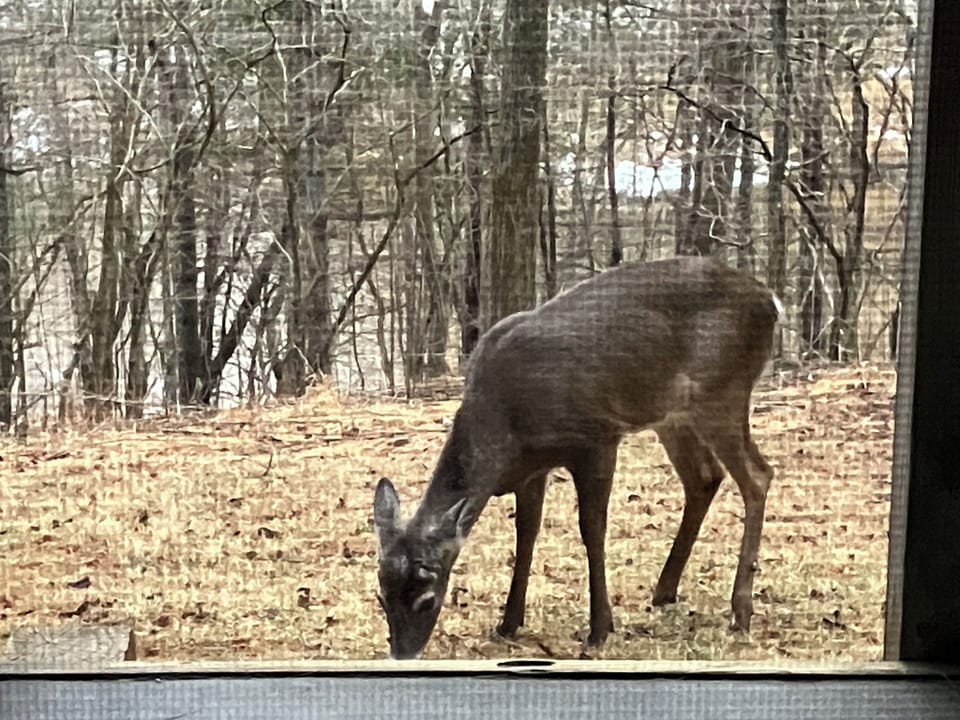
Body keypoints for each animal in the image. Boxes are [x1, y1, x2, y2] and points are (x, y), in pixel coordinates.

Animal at [372, 255, 781, 660]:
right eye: (382, 596)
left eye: (427, 599)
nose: (403, 654)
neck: (506, 421)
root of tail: (771, 300)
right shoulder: (531, 469)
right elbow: (526, 533)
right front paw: (508, 623)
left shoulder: (596, 439)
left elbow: (592, 530)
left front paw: (599, 629)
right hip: (672, 414)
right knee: (705, 477)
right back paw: (664, 591)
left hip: (723, 391)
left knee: (757, 475)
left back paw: (740, 611)